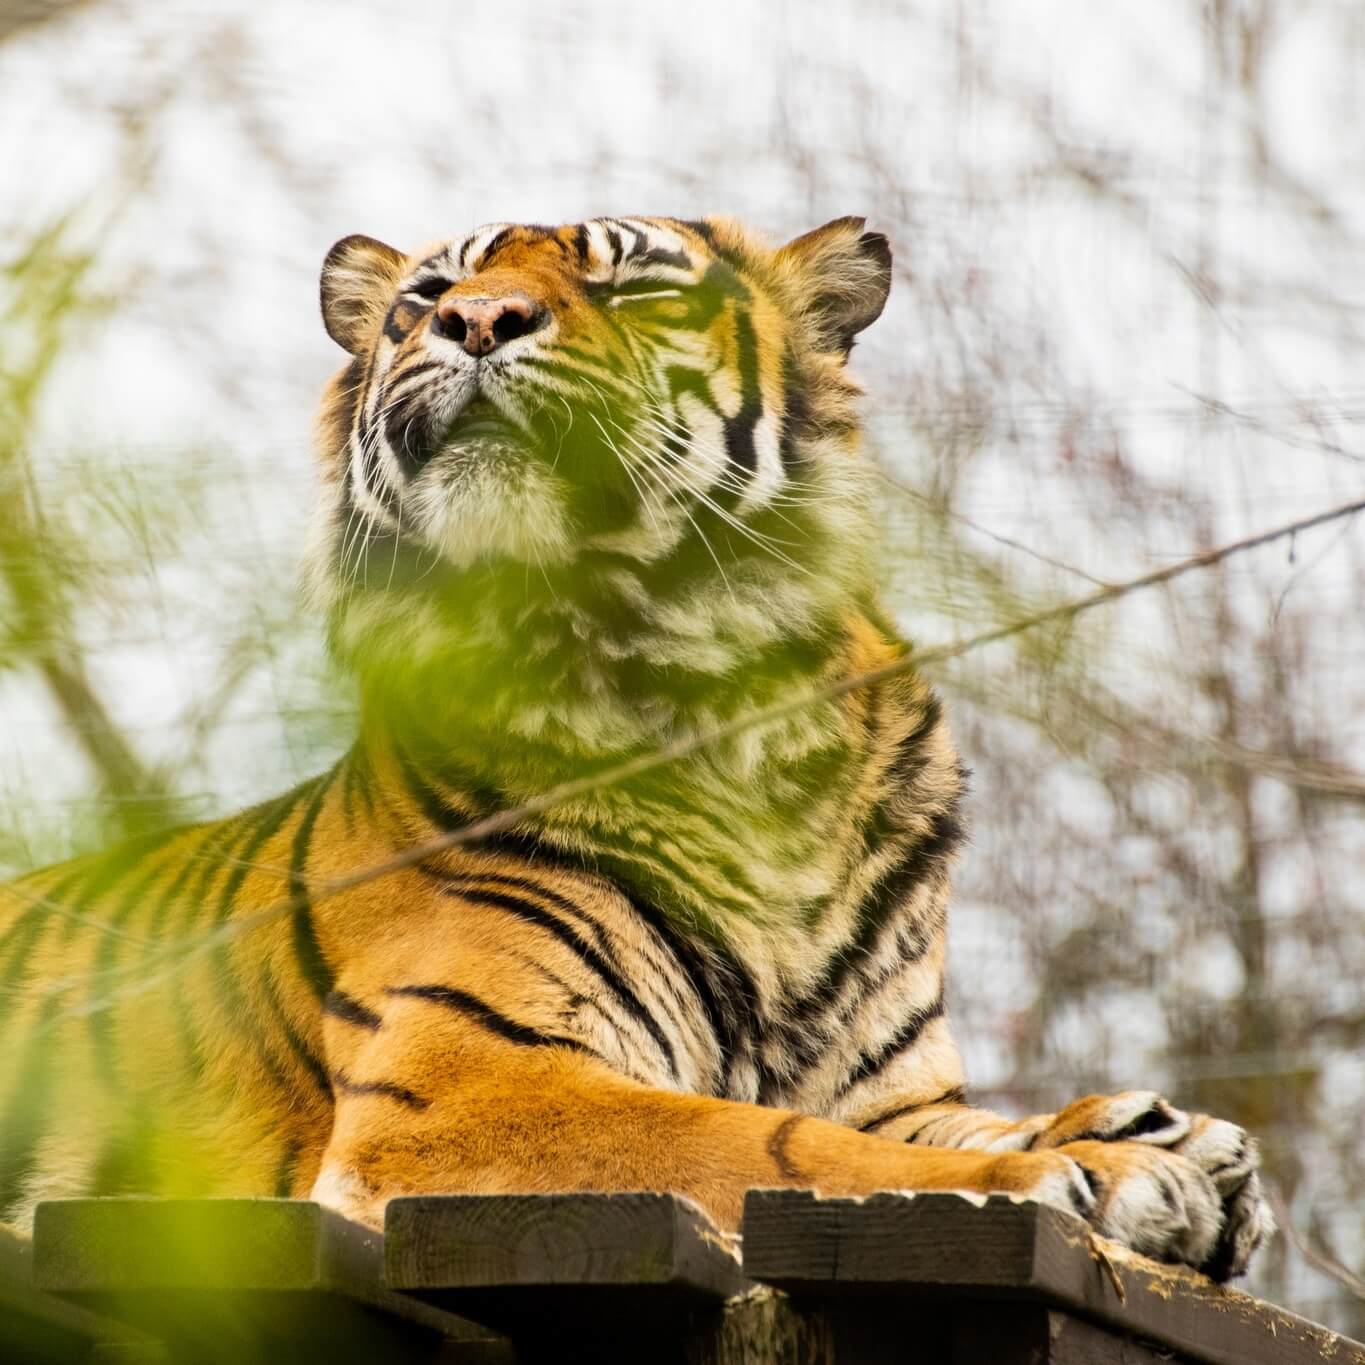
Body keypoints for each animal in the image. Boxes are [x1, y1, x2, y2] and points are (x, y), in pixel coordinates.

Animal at [2, 210, 1266, 1277]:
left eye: (634, 285)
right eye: (428, 293)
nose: (476, 322)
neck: (727, 710)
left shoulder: (888, 1089)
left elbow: (906, 1122)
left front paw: (1161, 1143)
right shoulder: (471, 1085)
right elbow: (779, 1143)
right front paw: (1093, 1169)